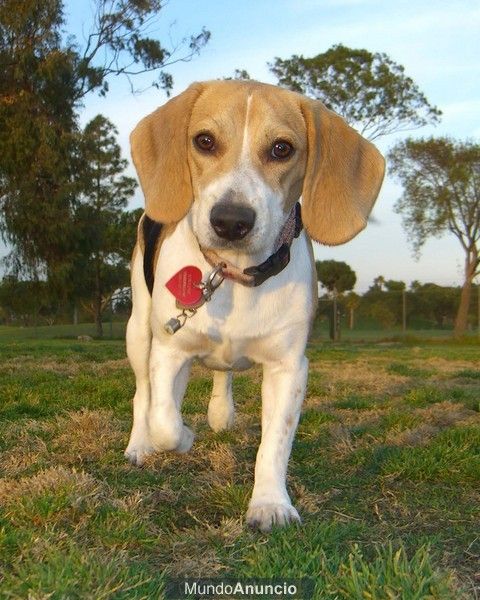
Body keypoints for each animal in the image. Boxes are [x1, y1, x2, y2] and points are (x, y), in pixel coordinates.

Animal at [125, 81, 384, 536]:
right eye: (204, 141)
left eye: (282, 149)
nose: (230, 220)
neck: (232, 275)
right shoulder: (170, 350)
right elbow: (164, 422)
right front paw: (182, 437)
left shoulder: (289, 367)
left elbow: (274, 446)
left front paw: (269, 504)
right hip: (139, 332)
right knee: (144, 396)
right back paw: (140, 444)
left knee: (217, 376)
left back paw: (219, 412)